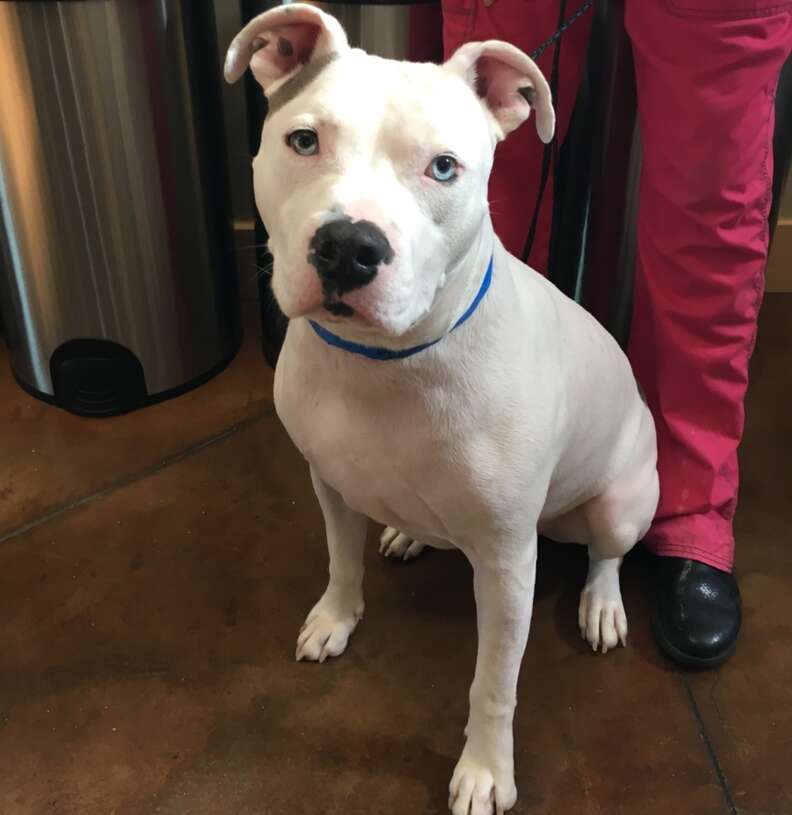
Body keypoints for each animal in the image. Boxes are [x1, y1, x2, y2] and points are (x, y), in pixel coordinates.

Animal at [226, 7, 660, 815]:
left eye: (444, 168)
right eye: (303, 141)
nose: (348, 246)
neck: (385, 364)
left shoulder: (506, 563)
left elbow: (493, 683)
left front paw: (486, 770)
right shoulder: (329, 483)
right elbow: (341, 560)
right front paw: (335, 618)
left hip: (621, 501)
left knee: (607, 553)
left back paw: (601, 603)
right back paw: (406, 532)